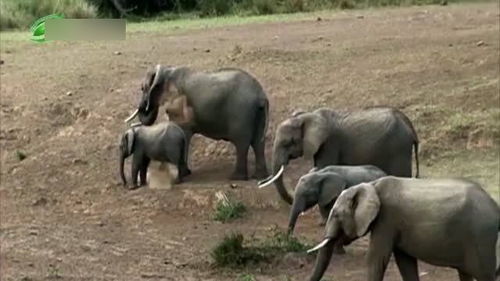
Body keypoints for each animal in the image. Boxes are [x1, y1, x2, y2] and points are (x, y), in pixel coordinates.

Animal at [125, 64, 270, 179]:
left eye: (142, 88)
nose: (145, 106)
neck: (168, 71)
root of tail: (261, 95)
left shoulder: (179, 105)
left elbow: (182, 132)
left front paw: (184, 174)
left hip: (241, 112)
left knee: (242, 142)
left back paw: (236, 178)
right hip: (257, 113)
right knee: (258, 142)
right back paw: (259, 177)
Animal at [258, 105, 418, 203]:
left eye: (288, 143)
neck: (308, 117)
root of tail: (410, 126)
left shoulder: (330, 143)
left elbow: (323, 168)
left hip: (398, 148)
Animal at [306, 175, 498, 280]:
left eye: (336, 215)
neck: (371, 185)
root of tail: (495, 206)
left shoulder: (386, 220)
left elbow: (376, 259)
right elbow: (405, 262)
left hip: (481, 238)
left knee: (485, 275)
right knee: (465, 274)